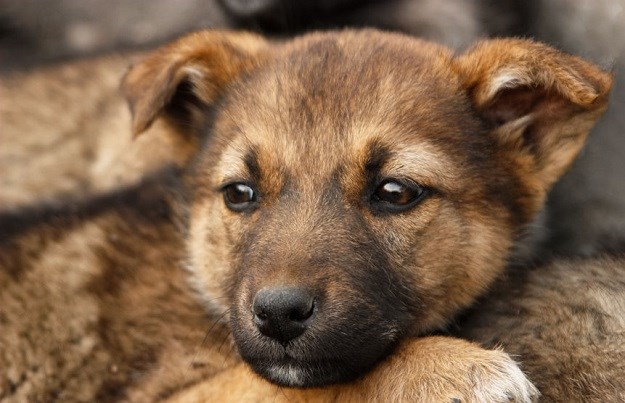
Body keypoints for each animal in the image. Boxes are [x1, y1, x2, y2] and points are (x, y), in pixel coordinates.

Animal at [0, 30, 612, 402]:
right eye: (239, 193)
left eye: (394, 192)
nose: (278, 314)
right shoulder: (167, 390)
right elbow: (309, 387)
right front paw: (447, 368)